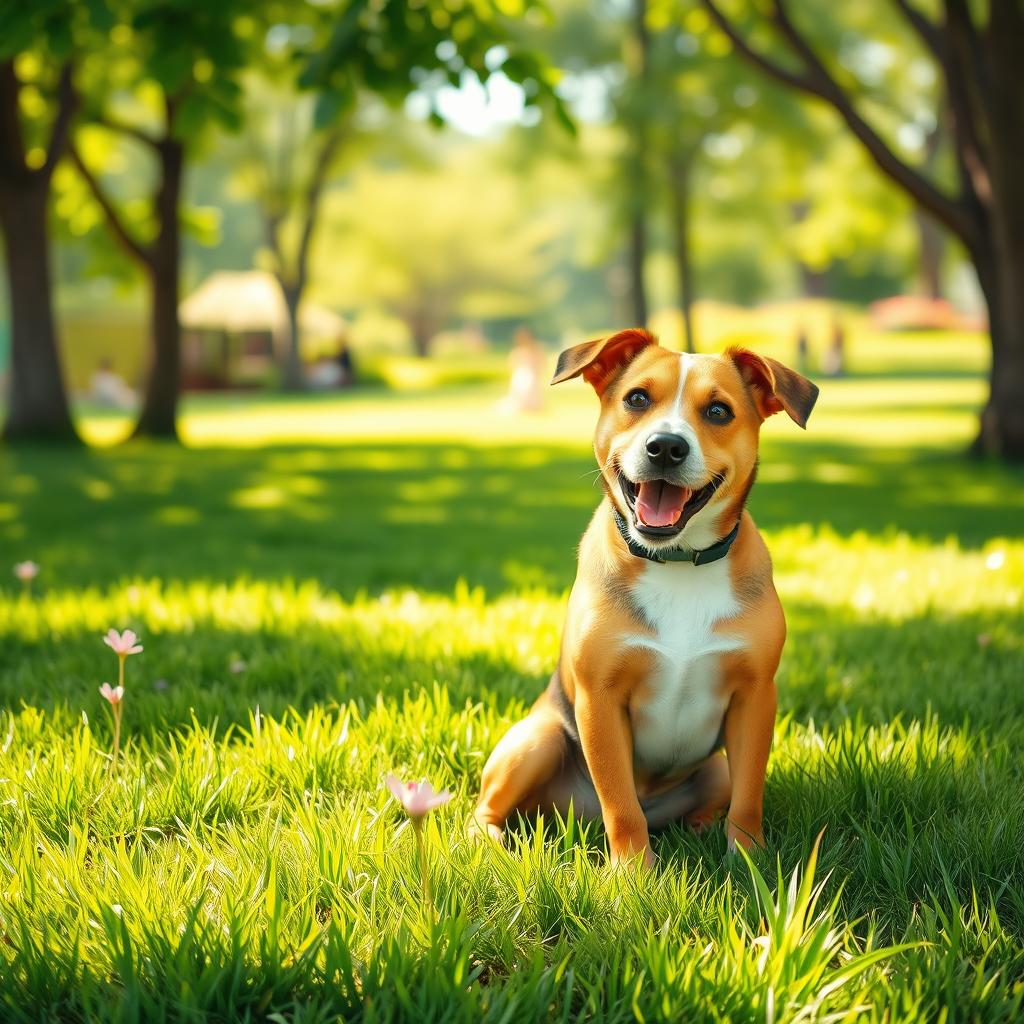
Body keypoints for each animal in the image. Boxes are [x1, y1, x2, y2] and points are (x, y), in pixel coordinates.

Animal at [471, 327, 815, 864]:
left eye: (718, 411)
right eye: (637, 398)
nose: (666, 447)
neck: (675, 561)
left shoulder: (756, 697)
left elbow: (749, 798)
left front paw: (750, 861)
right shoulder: (600, 700)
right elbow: (621, 804)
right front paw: (633, 872)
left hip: (714, 767)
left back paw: (699, 827)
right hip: (539, 739)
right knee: (486, 808)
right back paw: (493, 843)